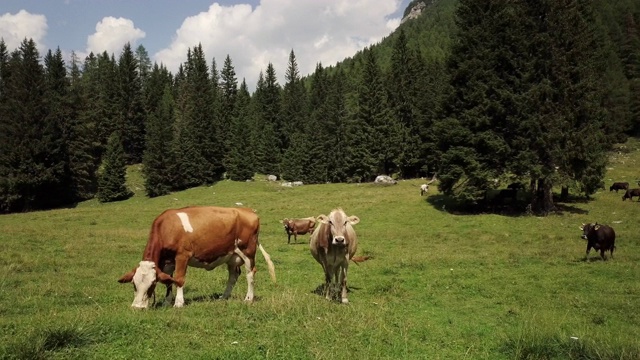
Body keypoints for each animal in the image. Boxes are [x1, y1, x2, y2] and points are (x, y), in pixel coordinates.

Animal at [117, 207, 276, 308]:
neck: (167, 227)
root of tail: (249, 211)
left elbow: (179, 279)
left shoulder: (182, 255)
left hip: (248, 251)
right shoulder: (168, 261)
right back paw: (224, 296)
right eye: (134, 284)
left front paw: (178, 303)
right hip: (232, 256)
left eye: (151, 285)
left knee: (250, 274)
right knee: (233, 276)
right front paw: (167, 302)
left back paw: (248, 298)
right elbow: (169, 281)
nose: (137, 307)